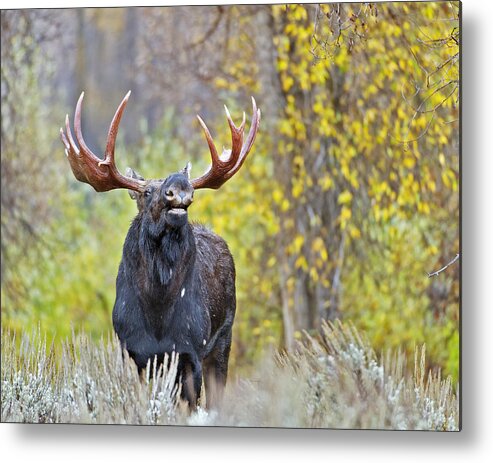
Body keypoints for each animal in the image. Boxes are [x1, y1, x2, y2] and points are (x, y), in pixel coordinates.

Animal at [60, 91, 260, 410]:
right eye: (145, 192)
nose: (179, 185)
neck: (157, 311)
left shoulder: (190, 351)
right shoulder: (134, 353)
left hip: (224, 338)